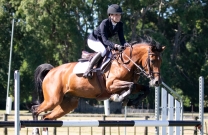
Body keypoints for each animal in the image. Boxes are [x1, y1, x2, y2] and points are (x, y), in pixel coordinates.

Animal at [30, 38, 164, 121]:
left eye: (160, 61)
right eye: (152, 60)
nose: (157, 82)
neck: (126, 63)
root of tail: (51, 71)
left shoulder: (131, 84)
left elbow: (144, 89)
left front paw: (131, 102)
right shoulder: (111, 85)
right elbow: (130, 86)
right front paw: (118, 98)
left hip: (68, 103)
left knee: (46, 117)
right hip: (52, 100)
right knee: (35, 110)